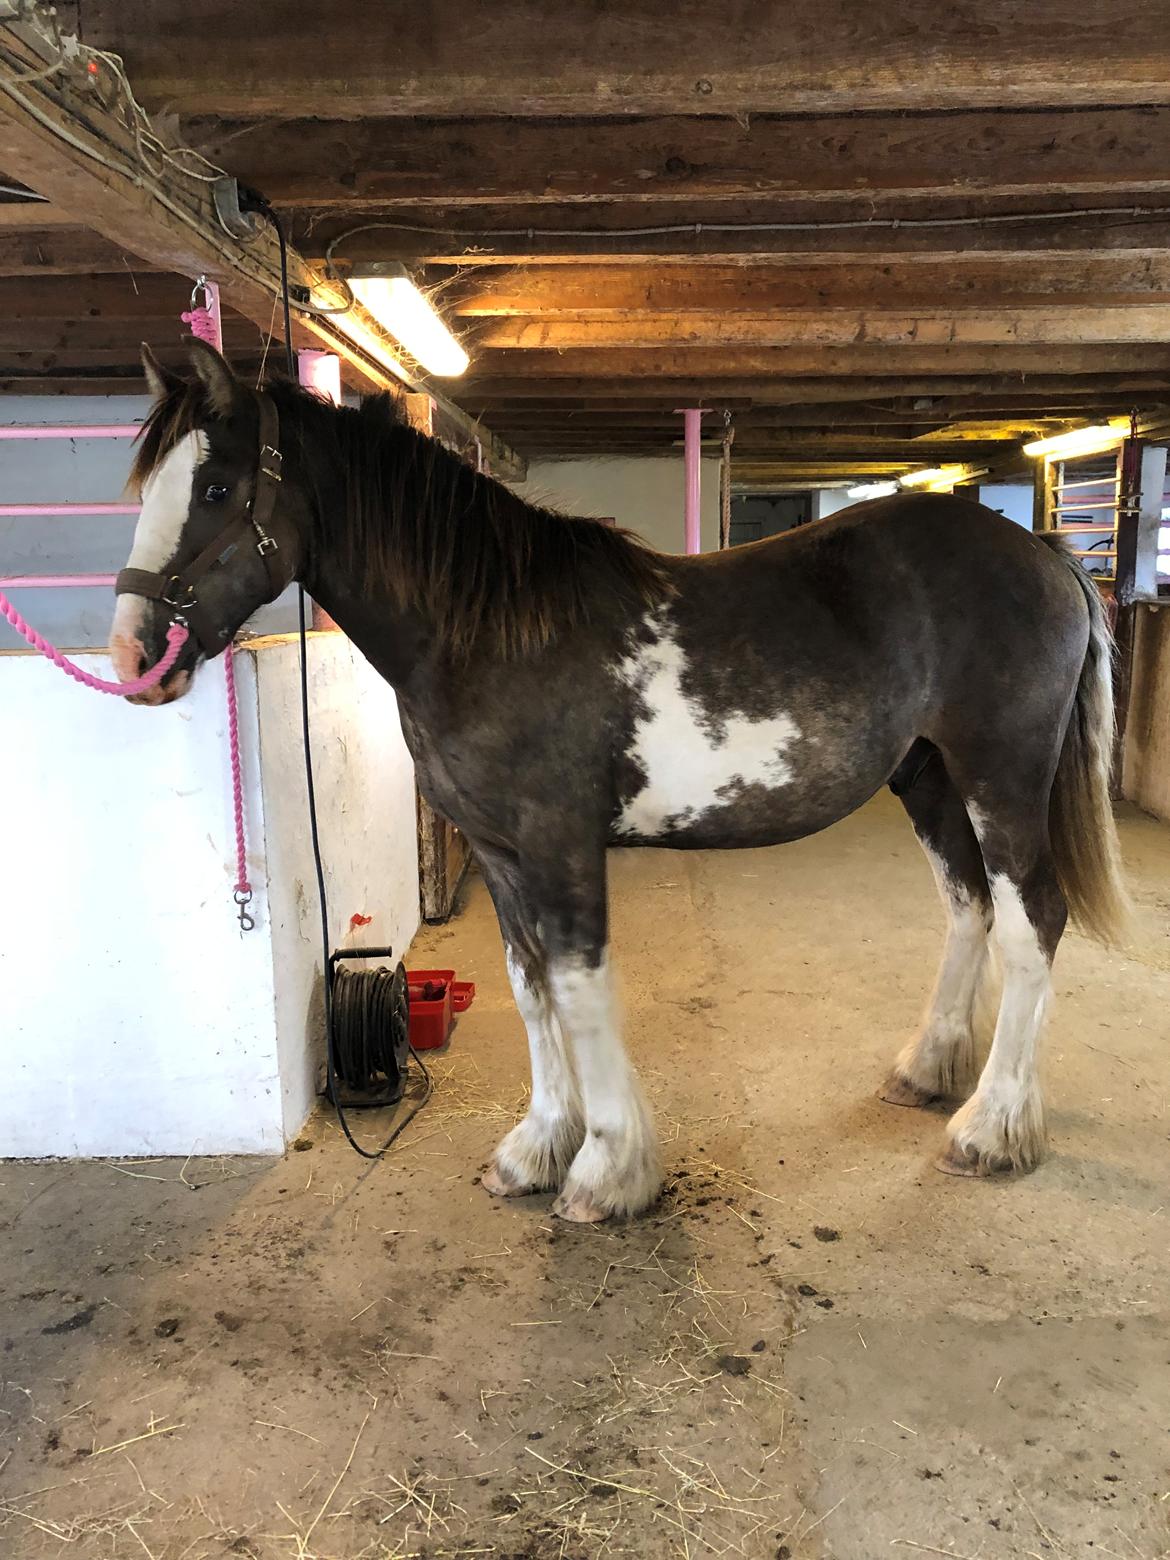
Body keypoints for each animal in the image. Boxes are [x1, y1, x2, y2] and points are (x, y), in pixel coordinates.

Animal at [109, 338, 1129, 1216]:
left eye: (214, 485)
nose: (133, 658)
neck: (486, 632)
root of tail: (1044, 553)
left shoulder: (560, 846)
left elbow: (581, 988)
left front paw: (606, 1171)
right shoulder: (502, 853)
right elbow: (530, 988)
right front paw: (535, 1149)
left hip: (1001, 778)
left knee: (1031, 923)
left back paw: (991, 1130)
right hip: (928, 779)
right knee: (969, 908)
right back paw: (926, 1072)